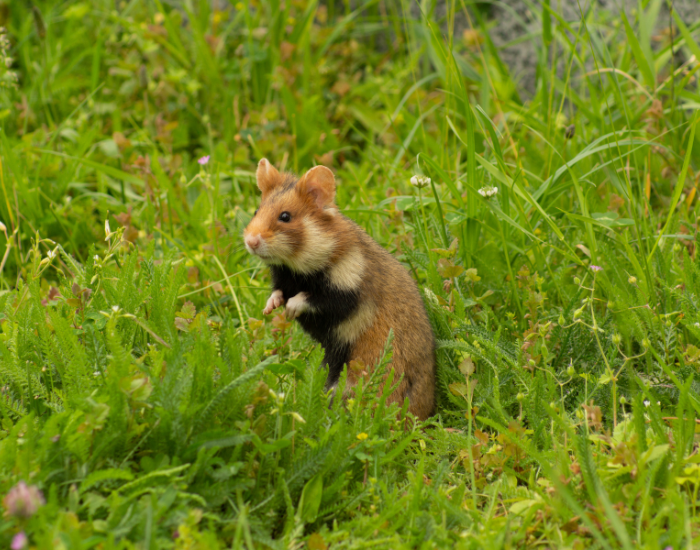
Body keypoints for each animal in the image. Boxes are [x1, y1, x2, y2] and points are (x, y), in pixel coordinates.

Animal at [243, 158, 436, 420]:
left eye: (285, 216)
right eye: (256, 211)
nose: (250, 241)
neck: (295, 268)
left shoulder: (347, 290)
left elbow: (310, 298)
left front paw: (290, 310)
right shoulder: (284, 281)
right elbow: (278, 293)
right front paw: (269, 309)